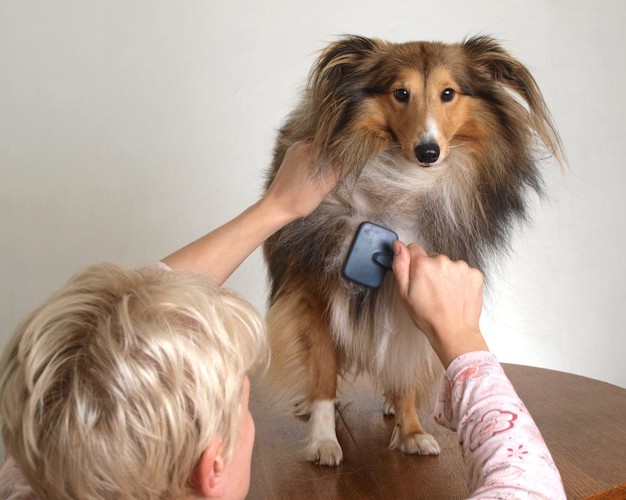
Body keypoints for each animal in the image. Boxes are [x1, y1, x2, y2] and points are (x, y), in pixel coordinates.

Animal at [260, 34, 564, 464]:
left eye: (448, 93)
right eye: (400, 93)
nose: (428, 152)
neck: (403, 182)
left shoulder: (413, 291)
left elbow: (404, 365)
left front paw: (412, 431)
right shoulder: (313, 296)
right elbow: (322, 371)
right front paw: (323, 439)